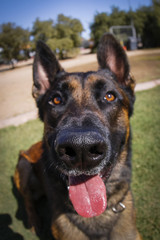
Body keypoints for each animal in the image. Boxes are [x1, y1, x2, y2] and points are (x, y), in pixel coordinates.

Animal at [14, 34, 141, 240]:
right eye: (56, 99)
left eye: (109, 96)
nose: (81, 149)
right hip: (23, 165)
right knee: (27, 200)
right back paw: (34, 221)